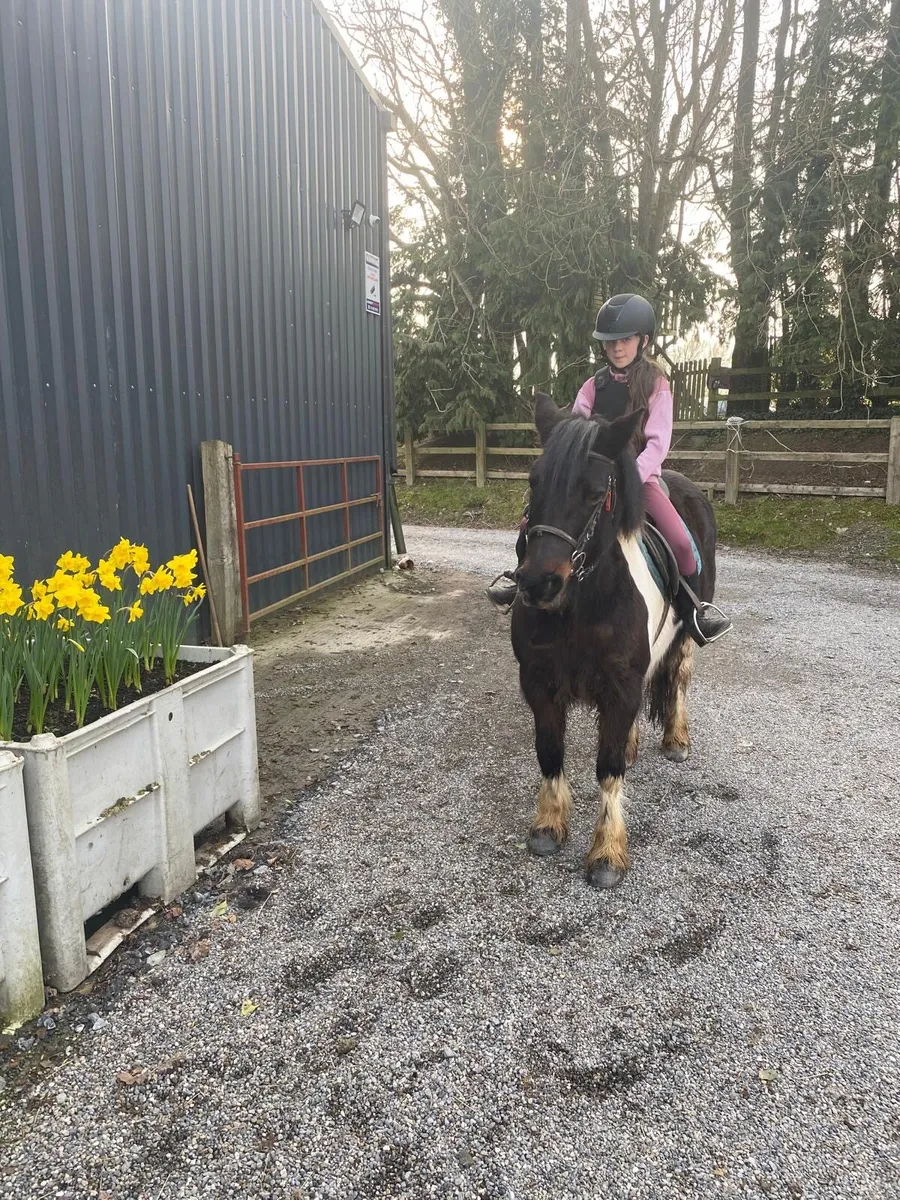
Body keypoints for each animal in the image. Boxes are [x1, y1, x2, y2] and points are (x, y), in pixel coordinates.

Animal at [510, 393, 719, 889]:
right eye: (533, 481)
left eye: (593, 491)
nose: (537, 584)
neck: (580, 606)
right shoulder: (539, 683)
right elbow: (550, 752)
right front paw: (548, 825)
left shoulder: (620, 683)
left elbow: (607, 768)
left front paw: (607, 852)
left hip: (685, 638)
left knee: (678, 679)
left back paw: (676, 738)